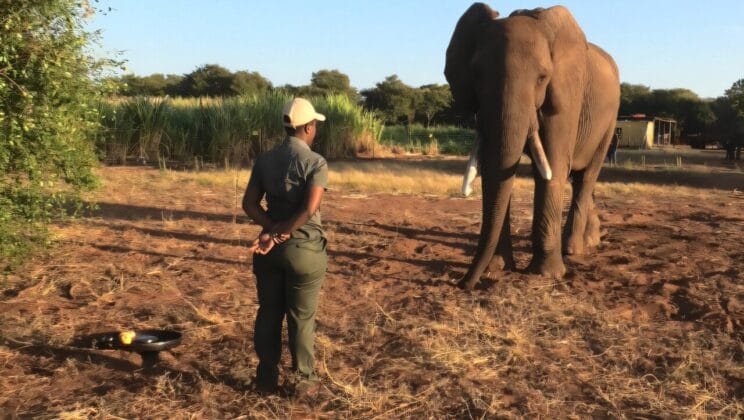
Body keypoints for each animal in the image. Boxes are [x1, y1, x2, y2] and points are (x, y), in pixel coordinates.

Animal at [445, 4, 620, 289]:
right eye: (476, 74)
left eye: (542, 78)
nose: (463, 283)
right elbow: (495, 168)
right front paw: (498, 268)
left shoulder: (566, 96)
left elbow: (553, 167)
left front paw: (545, 274)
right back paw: (590, 240)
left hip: (610, 121)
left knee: (586, 177)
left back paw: (574, 249)